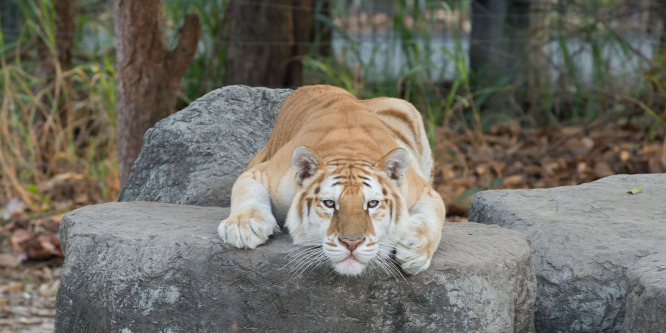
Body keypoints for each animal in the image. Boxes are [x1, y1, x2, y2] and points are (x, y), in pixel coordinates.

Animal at [219, 85, 446, 274]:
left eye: (372, 204)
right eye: (329, 203)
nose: (352, 243)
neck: (349, 151)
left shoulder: (425, 192)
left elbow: (433, 217)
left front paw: (415, 251)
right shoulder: (260, 172)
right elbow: (247, 191)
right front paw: (242, 227)